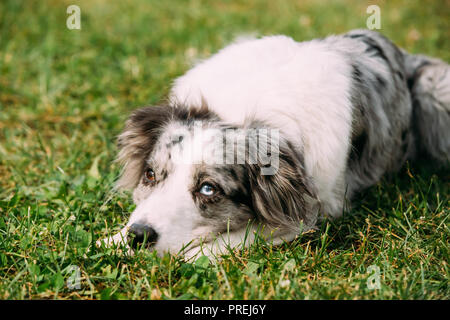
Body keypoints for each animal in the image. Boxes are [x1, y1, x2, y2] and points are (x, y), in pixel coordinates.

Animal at [99, 29, 450, 260]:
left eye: (209, 189)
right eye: (150, 175)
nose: (139, 236)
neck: (241, 109)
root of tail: (405, 54)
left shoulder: (315, 209)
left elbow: (249, 234)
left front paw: (194, 254)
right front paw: (112, 240)